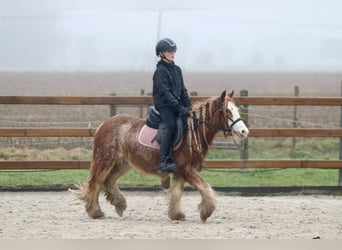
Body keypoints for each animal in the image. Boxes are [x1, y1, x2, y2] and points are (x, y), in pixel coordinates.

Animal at [71, 89, 248, 222]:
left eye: (236, 110)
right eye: (227, 111)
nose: (244, 131)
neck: (192, 132)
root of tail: (103, 125)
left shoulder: (180, 172)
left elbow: (177, 193)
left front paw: (176, 215)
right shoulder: (187, 169)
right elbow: (205, 187)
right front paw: (206, 211)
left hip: (122, 164)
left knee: (108, 181)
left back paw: (119, 204)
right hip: (105, 161)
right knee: (96, 183)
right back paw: (95, 212)